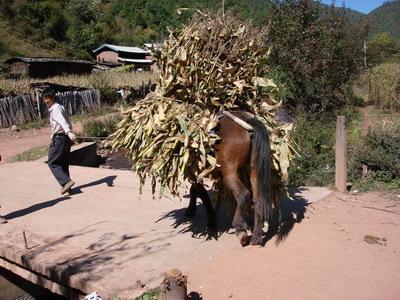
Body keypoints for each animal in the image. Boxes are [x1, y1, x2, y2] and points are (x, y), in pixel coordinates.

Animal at [184, 111, 272, 245]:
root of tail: (248, 121)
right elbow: (198, 191)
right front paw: (194, 210)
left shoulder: (193, 171)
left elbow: (201, 193)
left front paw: (210, 220)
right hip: (254, 170)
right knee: (257, 200)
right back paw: (256, 236)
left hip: (228, 172)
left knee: (243, 194)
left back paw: (240, 229)